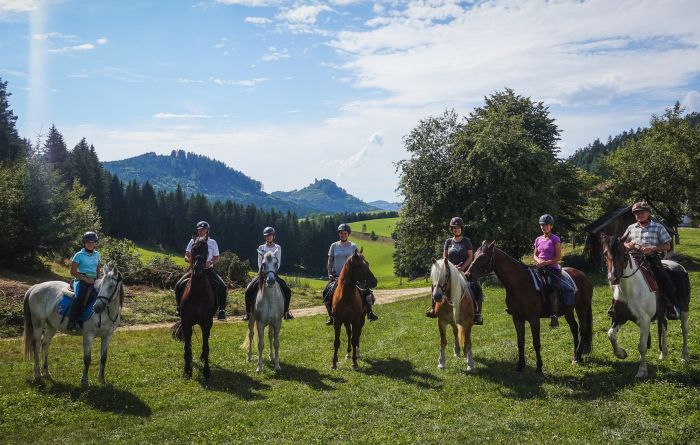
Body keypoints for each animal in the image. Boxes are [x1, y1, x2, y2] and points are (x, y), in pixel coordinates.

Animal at [172, 236, 215, 378]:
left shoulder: (206, 323)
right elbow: (187, 346)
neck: (197, 293)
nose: (198, 268)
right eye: (193, 249)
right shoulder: (186, 322)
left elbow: (206, 346)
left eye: (206, 249)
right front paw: (187, 370)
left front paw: (206, 371)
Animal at [464, 239, 592, 372]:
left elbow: (536, 342)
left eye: (483, 256)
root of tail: (584, 276)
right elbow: (520, 342)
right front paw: (520, 365)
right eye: (474, 255)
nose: (467, 274)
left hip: (581, 308)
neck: (520, 283)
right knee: (574, 328)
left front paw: (539, 367)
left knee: (582, 329)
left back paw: (577, 356)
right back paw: (576, 355)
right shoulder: (517, 318)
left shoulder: (534, 319)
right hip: (568, 310)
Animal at [600, 234, 692, 376]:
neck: (629, 290)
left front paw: (642, 371)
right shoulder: (619, 317)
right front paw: (621, 354)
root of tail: (677, 265)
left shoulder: (644, 321)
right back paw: (663, 354)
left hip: (684, 309)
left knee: (684, 330)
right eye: (605, 253)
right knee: (663, 326)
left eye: (622, 253)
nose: (613, 278)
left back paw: (685, 356)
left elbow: (642, 347)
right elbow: (611, 335)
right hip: (662, 312)